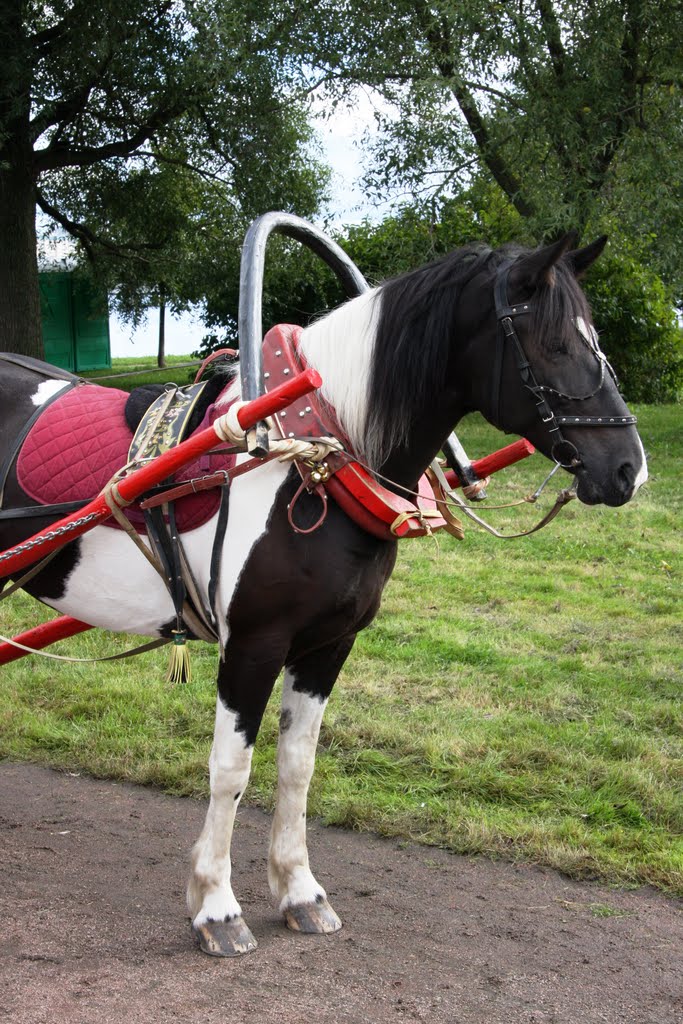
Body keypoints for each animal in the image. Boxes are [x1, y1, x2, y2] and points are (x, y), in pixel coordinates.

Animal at [0, 230, 647, 950]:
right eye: (554, 344)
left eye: (595, 340)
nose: (629, 469)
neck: (310, 456)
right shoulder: (251, 644)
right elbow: (231, 769)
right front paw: (216, 905)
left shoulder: (327, 644)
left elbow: (297, 766)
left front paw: (298, 890)